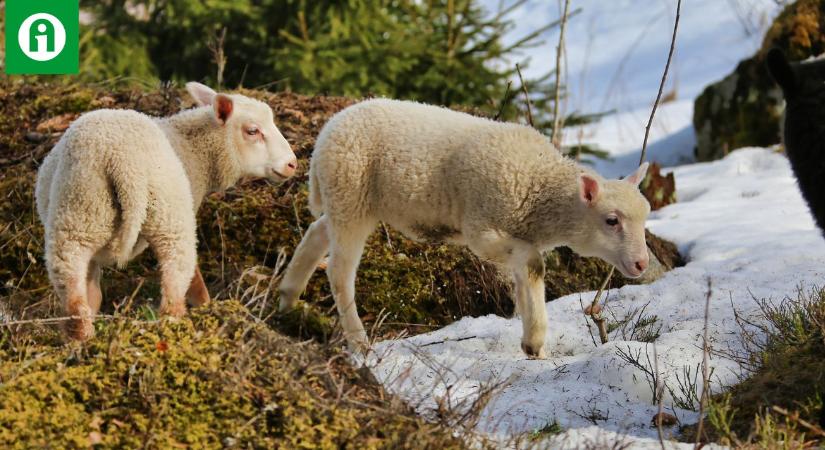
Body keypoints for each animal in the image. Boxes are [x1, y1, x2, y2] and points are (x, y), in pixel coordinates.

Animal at [37, 82, 300, 340]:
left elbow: (93, 291)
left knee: (71, 282)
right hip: (167, 213)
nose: (292, 164)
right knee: (175, 278)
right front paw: (204, 305)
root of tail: (121, 161)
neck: (198, 152)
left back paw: (80, 338)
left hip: (79, 209)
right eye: (252, 131)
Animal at [276, 99, 652, 358]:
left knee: (316, 234)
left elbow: (524, 278)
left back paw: (287, 300)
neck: (538, 185)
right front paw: (535, 339)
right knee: (340, 272)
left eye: (646, 217)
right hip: (351, 193)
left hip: (346, 201)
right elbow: (533, 264)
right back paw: (359, 342)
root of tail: (329, 130)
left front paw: (535, 346)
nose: (642, 264)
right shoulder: (482, 230)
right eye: (612, 220)